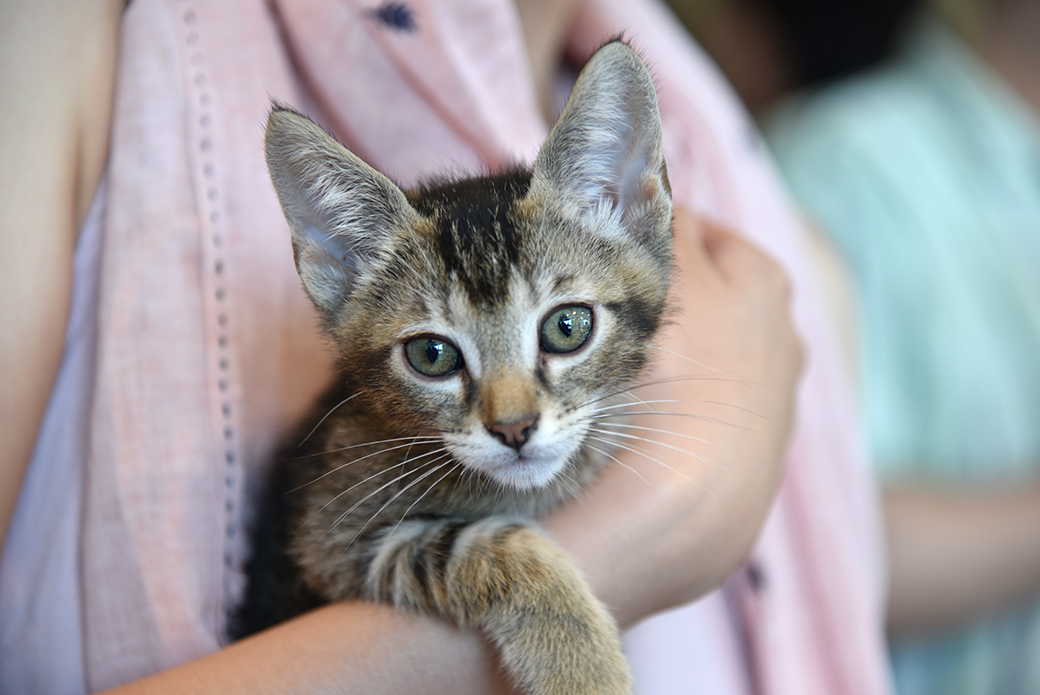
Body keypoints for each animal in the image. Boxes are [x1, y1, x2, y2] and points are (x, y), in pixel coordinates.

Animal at [236, 42, 673, 695]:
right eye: (432, 355)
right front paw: (584, 669)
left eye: (567, 327)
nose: (514, 429)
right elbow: (496, 548)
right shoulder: (328, 541)